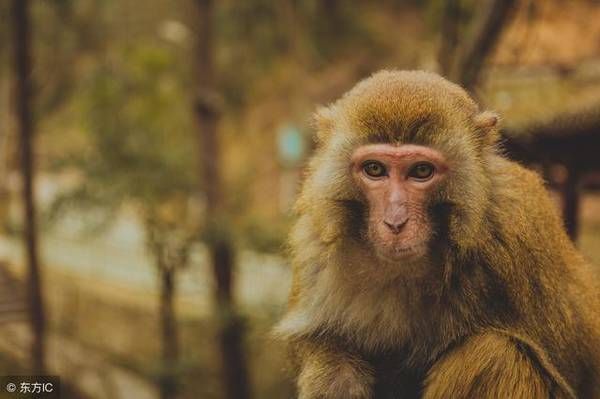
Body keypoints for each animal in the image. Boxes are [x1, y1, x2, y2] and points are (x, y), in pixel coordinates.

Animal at [274, 72, 600, 399]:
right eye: (374, 169)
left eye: (421, 171)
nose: (395, 222)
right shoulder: (316, 243)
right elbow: (316, 345)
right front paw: (338, 378)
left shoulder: (517, 226)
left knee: (494, 354)